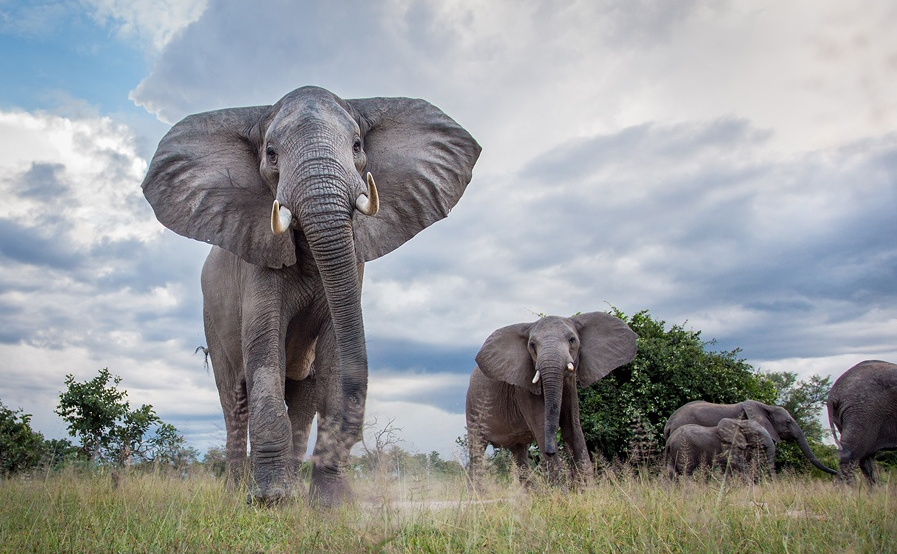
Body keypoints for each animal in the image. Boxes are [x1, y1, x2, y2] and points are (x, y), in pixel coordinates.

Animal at [141, 86, 480, 505]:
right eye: (271, 153)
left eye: (357, 146)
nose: (356, 435)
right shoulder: (258, 256)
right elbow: (264, 348)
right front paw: (269, 501)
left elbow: (335, 354)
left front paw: (330, 505)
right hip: (212, 319)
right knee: (235, 399)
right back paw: (237, 494)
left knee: (303, 400)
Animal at [465, 312, 637, 486]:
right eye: (532, 345)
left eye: (572, 340)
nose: (550, 451)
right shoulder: (523, 388)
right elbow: (542, 428)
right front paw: (562, 491)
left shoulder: (570, 385)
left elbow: (573, 429)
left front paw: (588, 490)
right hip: (473, 408)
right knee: (477, 449)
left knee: (520, 453)